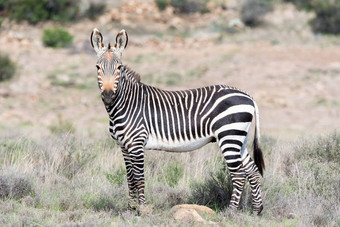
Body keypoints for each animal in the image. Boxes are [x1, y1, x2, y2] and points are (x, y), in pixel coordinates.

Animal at [90, 28, 266, 215]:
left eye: (119, 67)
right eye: (98, 67)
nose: (108, 96)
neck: (125, 104)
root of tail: (248, 96)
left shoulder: (136, 144)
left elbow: (139, 178)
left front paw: (142, 210)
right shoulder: (124, 146)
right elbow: (130, 179)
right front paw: (130, 210)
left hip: (229, 136)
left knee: (238, 174)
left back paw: (230, 212)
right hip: (240, 138)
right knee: (252, 170)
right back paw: (257, 210)